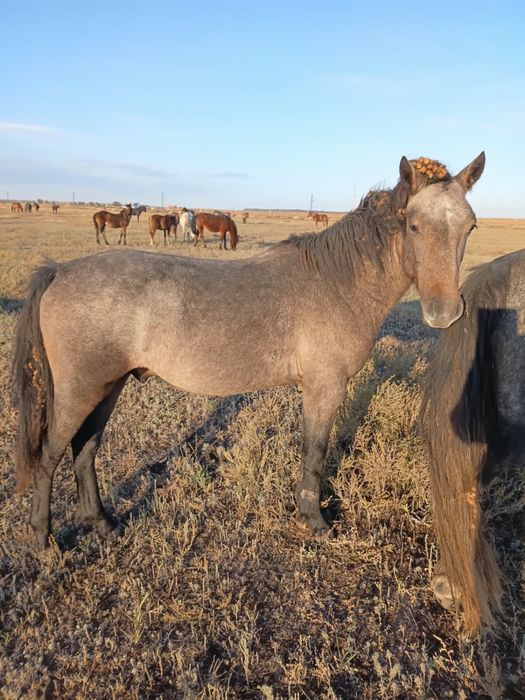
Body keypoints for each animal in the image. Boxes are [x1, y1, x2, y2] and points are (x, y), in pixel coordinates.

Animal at [11, 152, 485, 550]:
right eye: (413, 225)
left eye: (470, 227)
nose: (444, 312)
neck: (338, 281)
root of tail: (59, 272)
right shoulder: (325, 388)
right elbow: (315, 452)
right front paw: (314, 521)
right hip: (81, 390)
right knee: (51, 454)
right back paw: (42, 541)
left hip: (107, 387)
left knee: (85, 450)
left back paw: (102, 523)